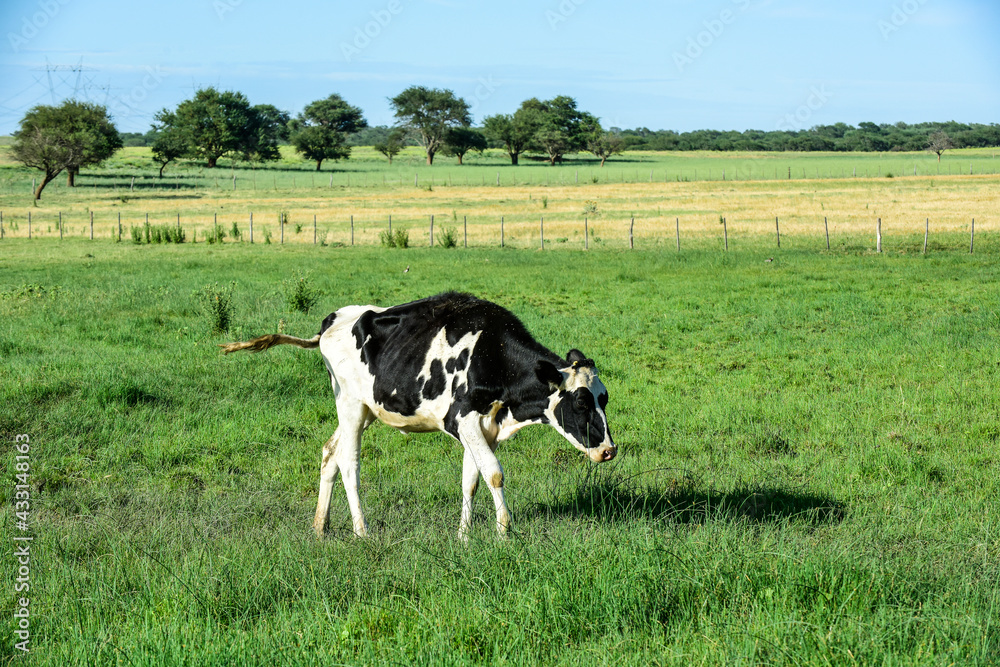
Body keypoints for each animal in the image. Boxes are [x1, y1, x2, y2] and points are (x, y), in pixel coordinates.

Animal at [219, 291, 616, 539]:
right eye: (581, 403)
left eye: (605, 399)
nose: (609, 450)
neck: (492, 354)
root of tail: (332, 320)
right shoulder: (464, 419)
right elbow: (494, 474)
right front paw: (505, 532)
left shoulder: (483, 427)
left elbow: (471, 480)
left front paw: (464, 537)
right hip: (349, 405)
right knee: (349, 463)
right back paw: (361, 531)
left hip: (365, 409)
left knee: (329, 454)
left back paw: (320, 527)